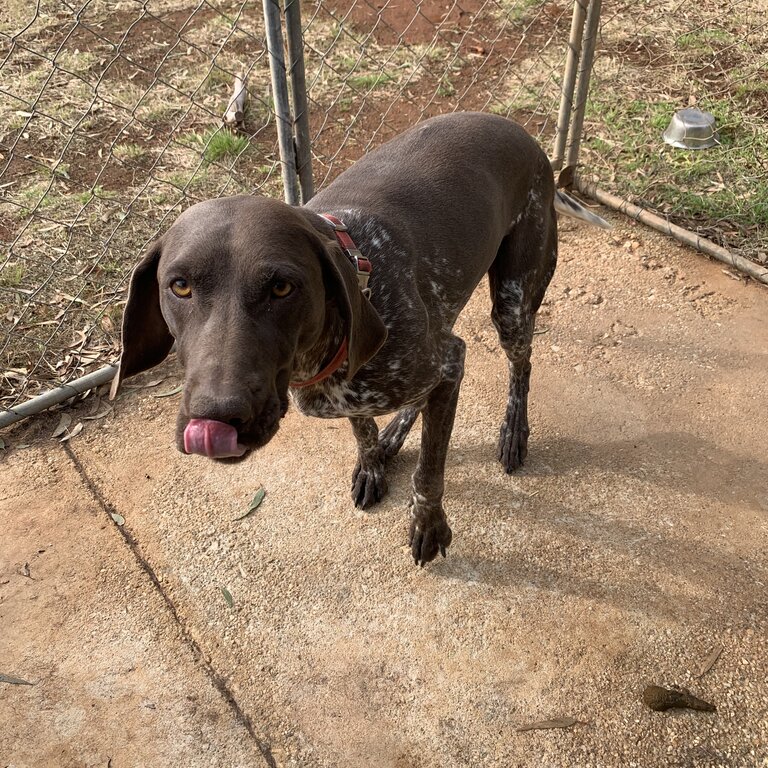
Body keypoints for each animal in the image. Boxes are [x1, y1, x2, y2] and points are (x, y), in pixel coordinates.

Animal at [111, 115, 608, 568]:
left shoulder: (447, 361)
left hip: (511, 302)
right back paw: (396, 435)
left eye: (282, 288)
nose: (217, 416)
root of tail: (528, 138)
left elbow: (430, 470)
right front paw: (373, 460)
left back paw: (513, 432)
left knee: (520, 365)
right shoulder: (388, 378)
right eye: (179, 286)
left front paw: (429, 524)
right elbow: (363, 427)